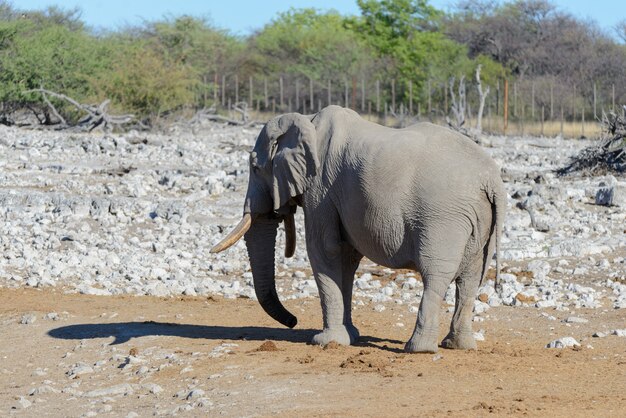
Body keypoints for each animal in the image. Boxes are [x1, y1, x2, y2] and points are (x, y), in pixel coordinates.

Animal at [212, 105, 504, 352]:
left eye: (254, 167)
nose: (293, 321)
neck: (307, 120)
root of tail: (492, 180)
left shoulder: (320, 189)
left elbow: (324, 250)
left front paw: (325, 341)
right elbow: (346, 258)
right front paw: (350, 336)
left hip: (443, 217)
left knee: (437, 274)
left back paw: (418, 349)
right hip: (478, 220)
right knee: (471, 277)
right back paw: (457, 346)